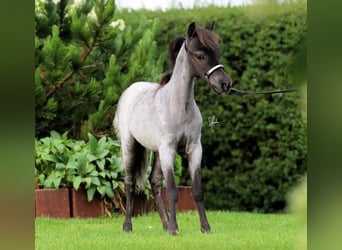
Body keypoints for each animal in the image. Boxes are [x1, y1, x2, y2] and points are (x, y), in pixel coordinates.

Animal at [114, 21, 232, 234]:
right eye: (200, 55)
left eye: (217, 52)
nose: (225, 84)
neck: (179, 107)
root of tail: (130, 89)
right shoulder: (168, 150)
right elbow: (172, 191)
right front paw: (175, 229)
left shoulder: (194, 149)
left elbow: (197, 190)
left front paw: (205, 227)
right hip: (130, 145)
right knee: (129, 182)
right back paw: (128, 226)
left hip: (157, 152)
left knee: (154, 182)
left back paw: (165, 223)